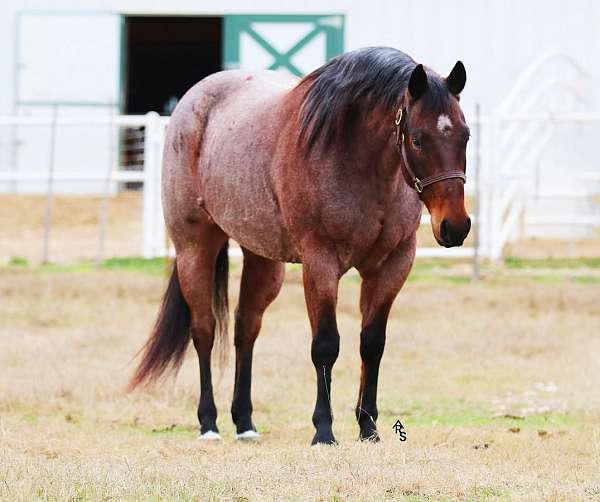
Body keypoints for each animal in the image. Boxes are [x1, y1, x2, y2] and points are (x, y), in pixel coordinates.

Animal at [129, 47, 472, 446]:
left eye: (465, 135)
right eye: (417, 139)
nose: (455, 226)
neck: (353, 155)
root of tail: (191, 100)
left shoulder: (393, 264)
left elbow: (372, 343)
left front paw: (368, 428)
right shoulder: (320, 263)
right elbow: (325, 344)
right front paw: (323, 430)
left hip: (263, 259)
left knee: (246, 330)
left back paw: (245, 423)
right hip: (194, 248)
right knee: (204, 331)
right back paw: (209, 424)